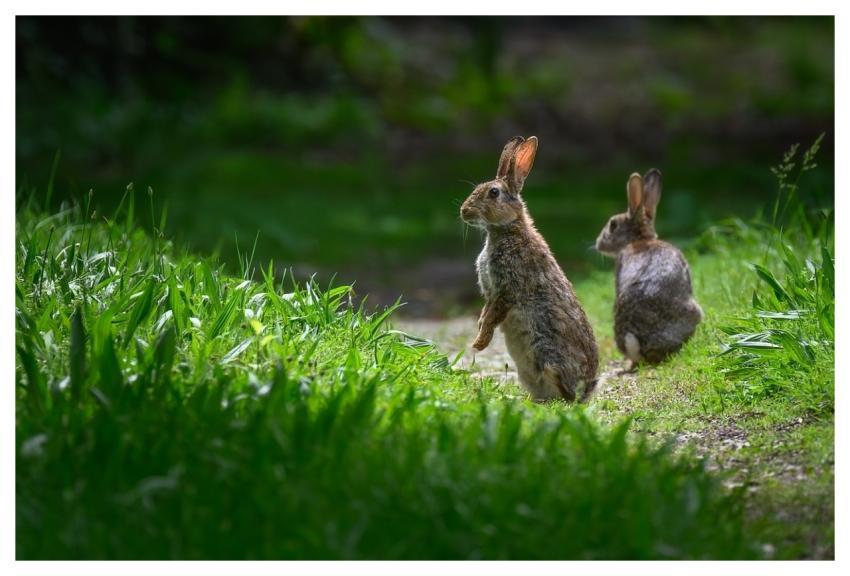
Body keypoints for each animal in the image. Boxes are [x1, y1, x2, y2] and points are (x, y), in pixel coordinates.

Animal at [460, 136, 599, 402]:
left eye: (494, 193)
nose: (464, 211)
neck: (507, 230)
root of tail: (587, 389)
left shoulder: (508, 289)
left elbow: (493, 316)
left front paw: (479, 344)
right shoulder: (491, 293)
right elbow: (485, 313)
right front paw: (478, 336)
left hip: (548, 357)